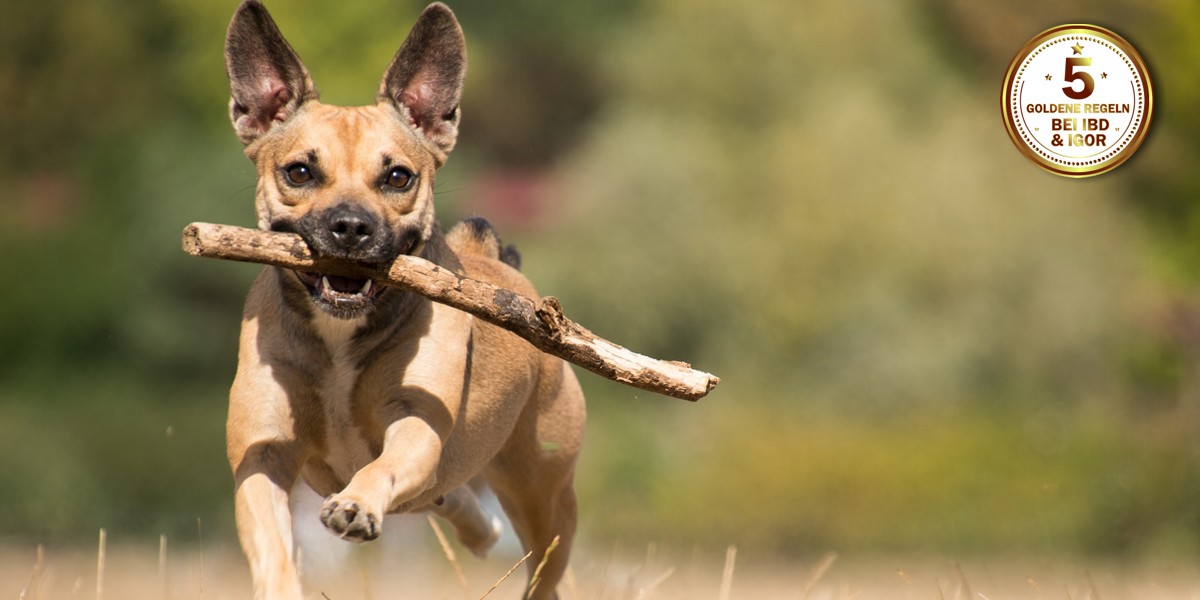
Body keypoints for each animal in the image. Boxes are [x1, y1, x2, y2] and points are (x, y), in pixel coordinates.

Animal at [224, 2, 585, 597]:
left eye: (398, 177)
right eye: (299, 171)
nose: (351, 226)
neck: (340, 333)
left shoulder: (416, 424)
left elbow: (383, 465)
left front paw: (355, 505)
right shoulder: (263, 451)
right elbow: (271, 547)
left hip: (542, 490)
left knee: (549, 563)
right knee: (451, 499)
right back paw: (477, 528)